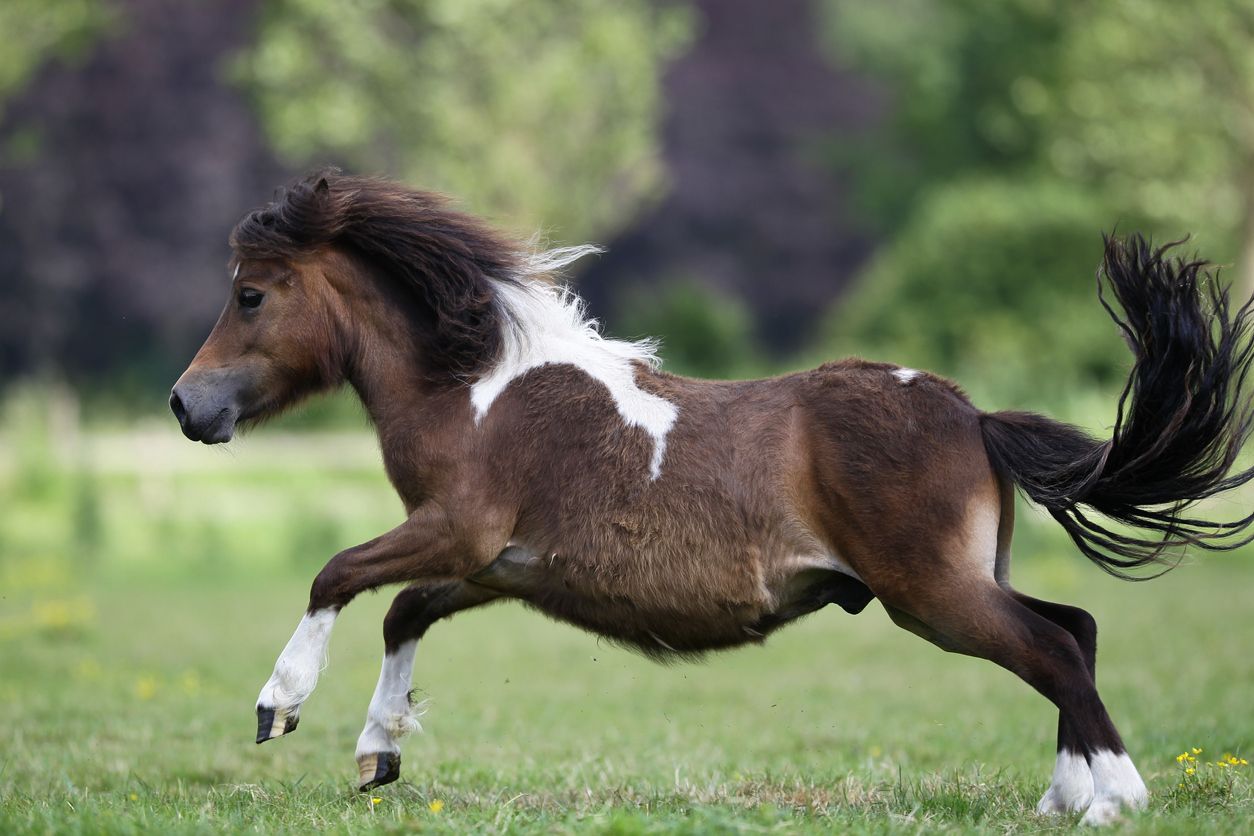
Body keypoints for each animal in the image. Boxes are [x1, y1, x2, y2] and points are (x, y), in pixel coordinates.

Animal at [170, 171, 1254, 825]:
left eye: (252, 294)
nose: (187, 404)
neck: (477, 387)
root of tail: (974, 413)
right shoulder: (494, 565)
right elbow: (401, 610)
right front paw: (377, 752)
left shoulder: (458, 530)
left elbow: (336, 573)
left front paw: (280, 705)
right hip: (962, 582)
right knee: (1075, 629)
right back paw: (1065, 796)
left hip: (935, 596)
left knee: (1057, 648)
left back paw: (1113, 797)